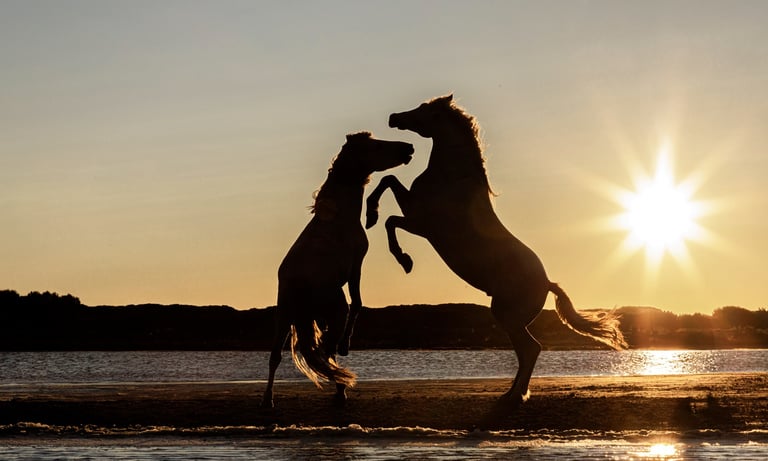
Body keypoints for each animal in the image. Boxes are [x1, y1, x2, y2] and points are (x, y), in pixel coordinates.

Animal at [261, 131, 414, 408]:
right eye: (376, 145)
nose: (408, 147)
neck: (339, 217)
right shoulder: (356, 265)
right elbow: (358, 302)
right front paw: (347, 345)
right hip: (295, 316)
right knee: (296, 353)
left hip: (309, 317)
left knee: (313, 353)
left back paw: (335, 391)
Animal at [364, 95, 627, 407]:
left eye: (426, 110)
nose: (394, 117)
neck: (451, 179)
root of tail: (546, 282)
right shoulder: (418, 222)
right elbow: (388, 184)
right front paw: (372, 216)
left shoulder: (420, 222)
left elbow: (389, 208)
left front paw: (400, 254)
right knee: (528, 351)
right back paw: (514, 393)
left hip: (506, 316)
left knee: (531, 349)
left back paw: (513, 396)